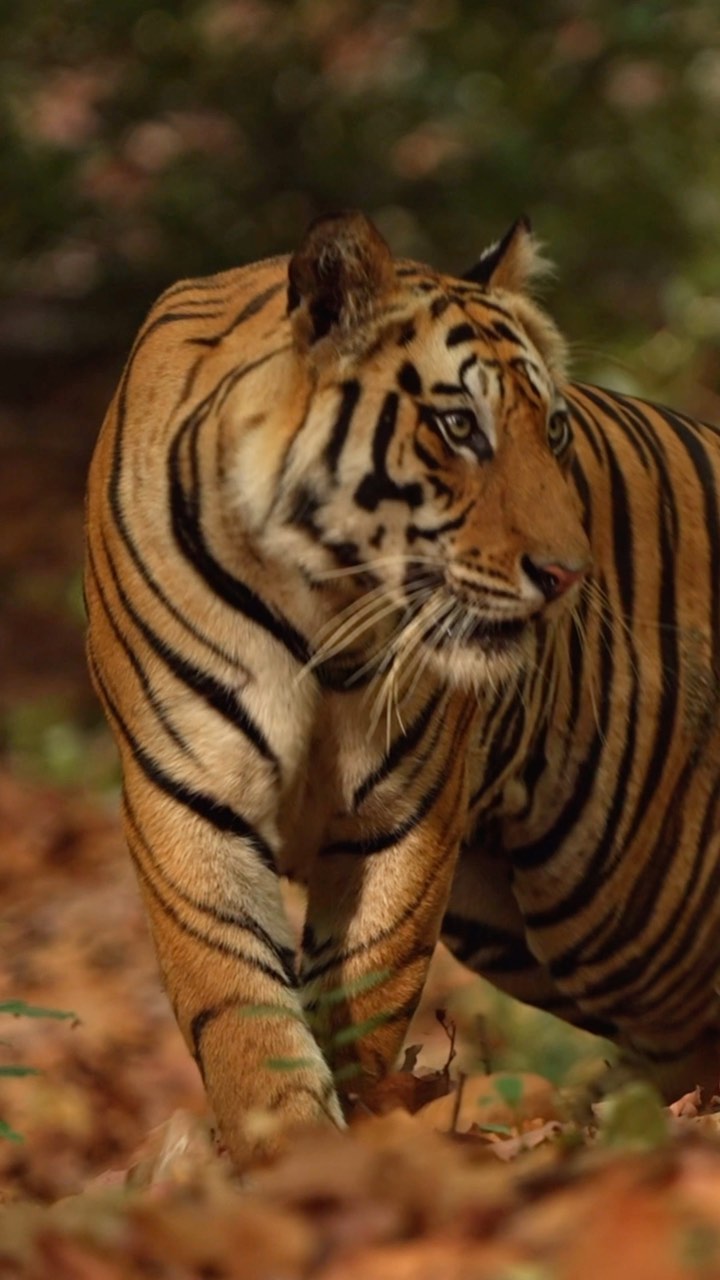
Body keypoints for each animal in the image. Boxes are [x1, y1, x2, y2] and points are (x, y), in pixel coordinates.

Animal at [84, 209, 720, 1168]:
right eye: (458, 427)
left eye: (555, 433)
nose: (567, 576)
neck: (319, 603)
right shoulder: (189, 797)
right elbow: (242, 1009)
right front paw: (285, 1157)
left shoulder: (403, 811)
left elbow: (363, 995)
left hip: (631, 907)